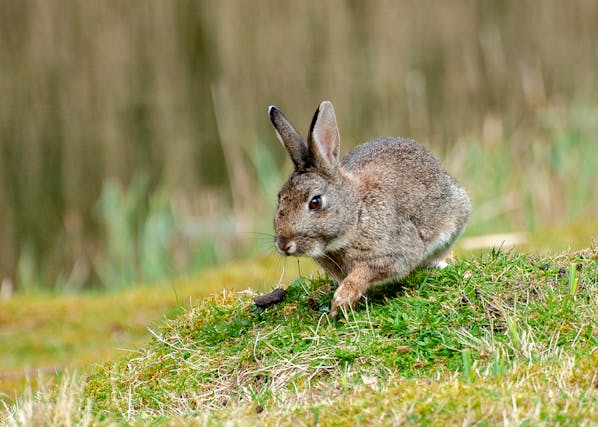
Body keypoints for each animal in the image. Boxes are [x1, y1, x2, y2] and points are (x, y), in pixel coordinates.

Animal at [270, 100, 472, 318]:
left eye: (315, 202)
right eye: (279, 197)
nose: (283, 245)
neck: (357, 216)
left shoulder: (396, 252)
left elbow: (366, 271)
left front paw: (341, 300)